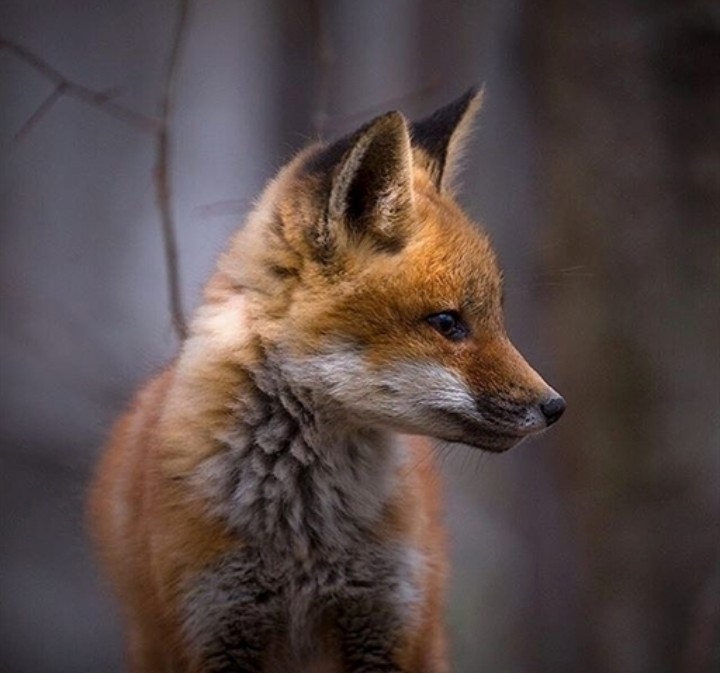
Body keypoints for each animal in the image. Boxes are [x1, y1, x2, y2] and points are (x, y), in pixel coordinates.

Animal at [89, 88, 565, 673]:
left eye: (497, 317)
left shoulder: (386, 624)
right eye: (448, 322)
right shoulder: (213, 624)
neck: (303, 536)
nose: (555, 407)